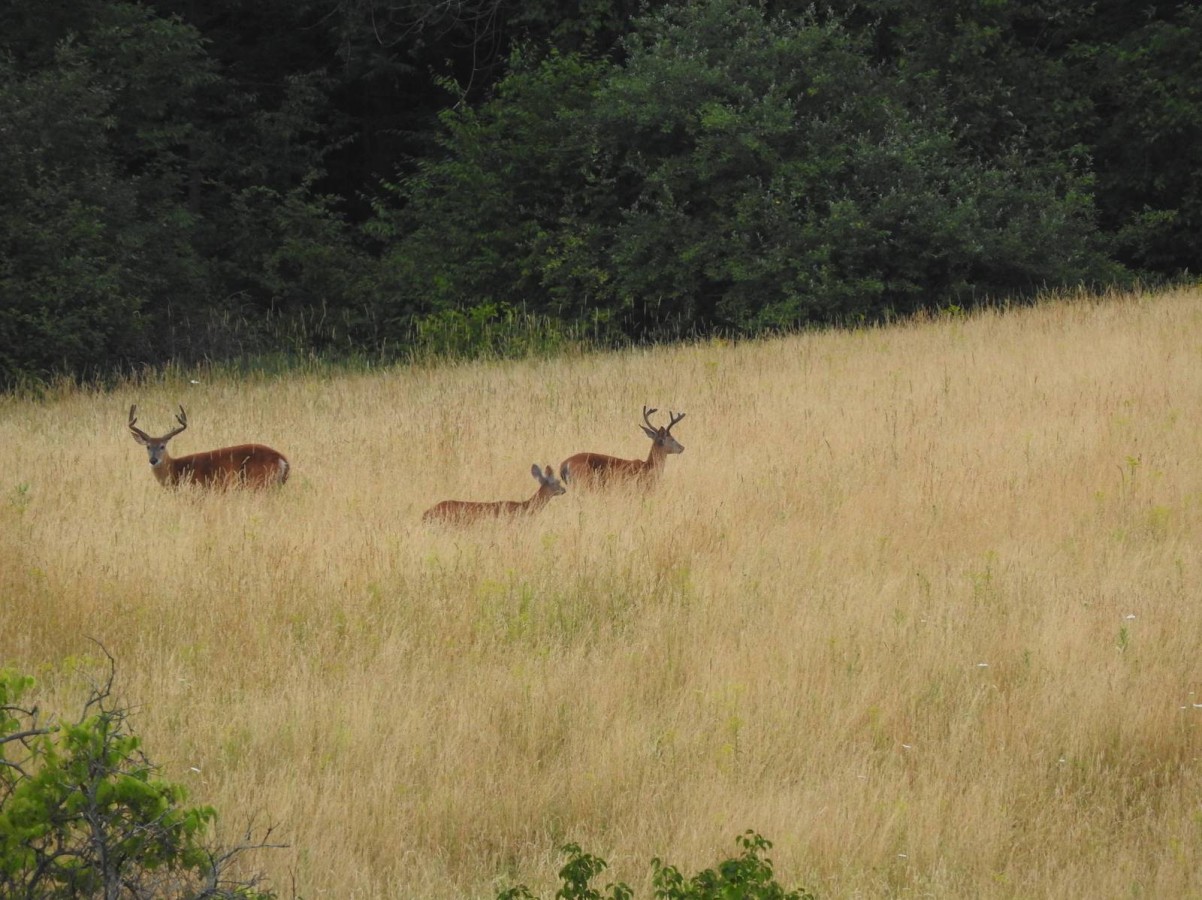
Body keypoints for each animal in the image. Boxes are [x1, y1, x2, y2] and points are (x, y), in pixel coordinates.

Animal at [128, 406, 290, 487]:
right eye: (148, 446)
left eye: (162, 446)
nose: (153, 460)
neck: (176, 469)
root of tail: (282, 459)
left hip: (259, 481)